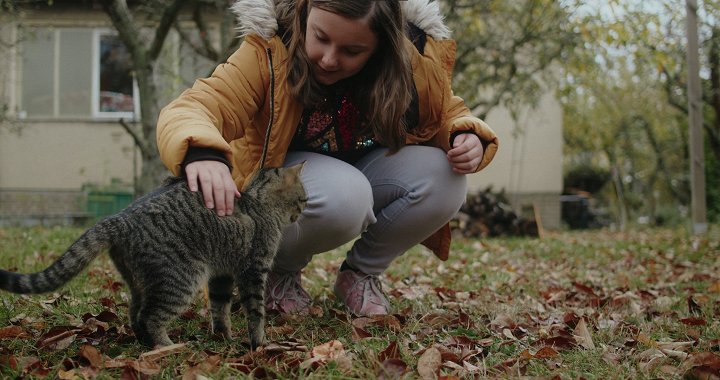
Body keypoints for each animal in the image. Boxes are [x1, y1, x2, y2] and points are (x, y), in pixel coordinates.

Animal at [0, 162, 306, 348]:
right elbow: (256, 312)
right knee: (150, 316)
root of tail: (121, 218)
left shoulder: (222, 275)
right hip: (181, 280)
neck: (258, 205)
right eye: (303, 197)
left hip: (142, 282)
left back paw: (146, 343)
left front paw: (223, 338)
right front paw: (259, 344)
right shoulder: (253, 271)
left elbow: (220, 310)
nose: (304, 209)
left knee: (135, 313)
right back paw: (167, 346)